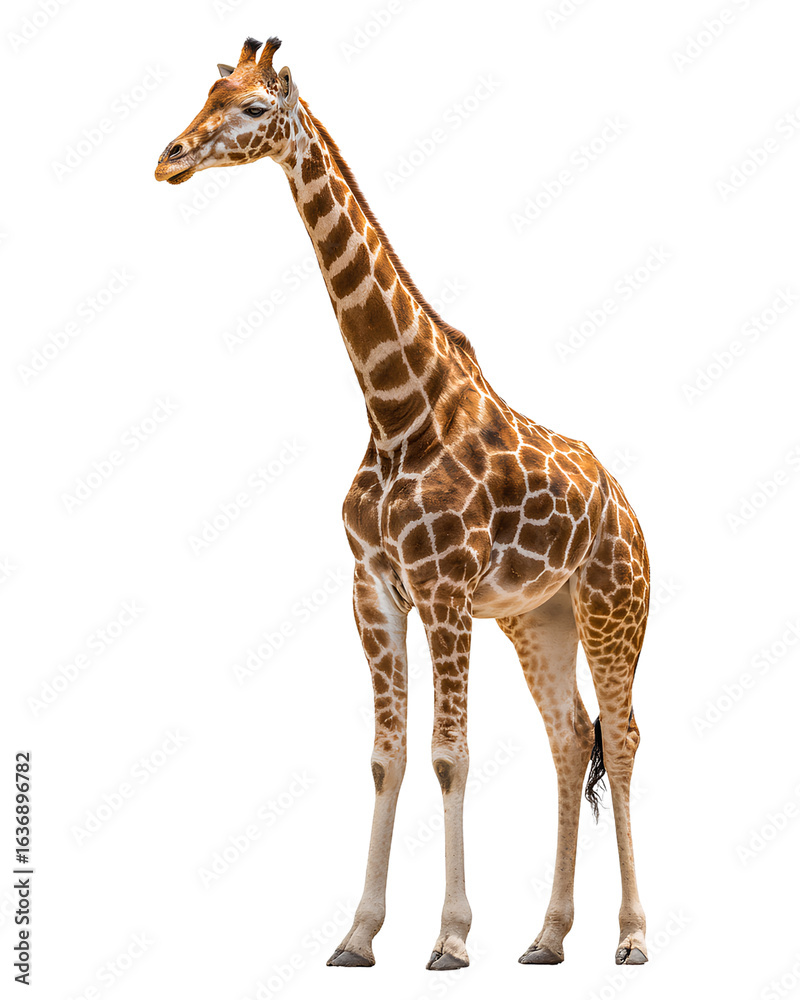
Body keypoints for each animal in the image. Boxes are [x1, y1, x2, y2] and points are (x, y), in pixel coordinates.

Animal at [155, 37, 650, 970]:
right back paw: (548, 936)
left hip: (612, 606)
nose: (168, 157)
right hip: (538, 617)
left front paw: (451, 937)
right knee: (572, 737)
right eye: (206, 92)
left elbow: (450, 754)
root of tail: (629, 508)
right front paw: (357, 935)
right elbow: (387, 756)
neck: (395, 413)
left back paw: (633, 936)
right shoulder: (374, 589)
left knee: (625, 734)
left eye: (252, 108)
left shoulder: (445, 589)